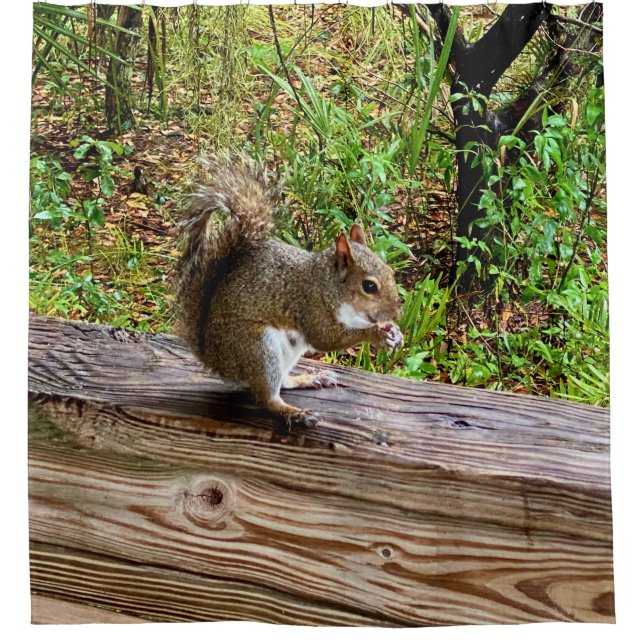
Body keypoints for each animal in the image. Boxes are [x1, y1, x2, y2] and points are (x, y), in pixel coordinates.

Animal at [175, 155, 404, 427]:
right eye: (369, 286)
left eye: (390, 271)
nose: (397, 313)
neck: (327, 284)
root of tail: (214, 358)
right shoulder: (309, 305)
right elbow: (327, 338)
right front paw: (376, 335)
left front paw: (393, 332)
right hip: (257, 348)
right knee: (266, 398)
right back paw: (293, 413)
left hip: (286, 352)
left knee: (282, 382)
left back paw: (307, 379)